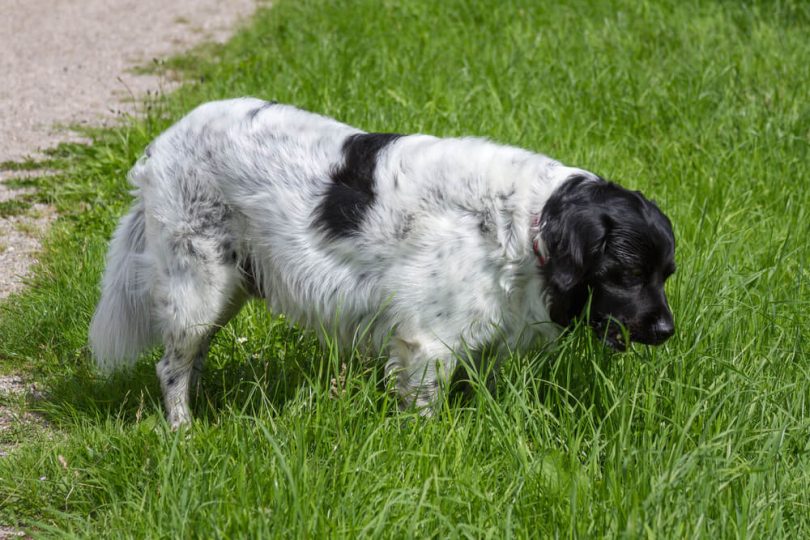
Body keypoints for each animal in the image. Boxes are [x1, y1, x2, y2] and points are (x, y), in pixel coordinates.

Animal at [90, 98, 676, 427]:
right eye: (627, 274)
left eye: (665, 274)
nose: (667, 330)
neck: (525, 221)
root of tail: (160, 145)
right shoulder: (427, 345)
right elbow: (424, 414)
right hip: (197, 286)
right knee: (171, 367)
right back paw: (182, 431)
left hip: (226, 288)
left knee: (189, 361)